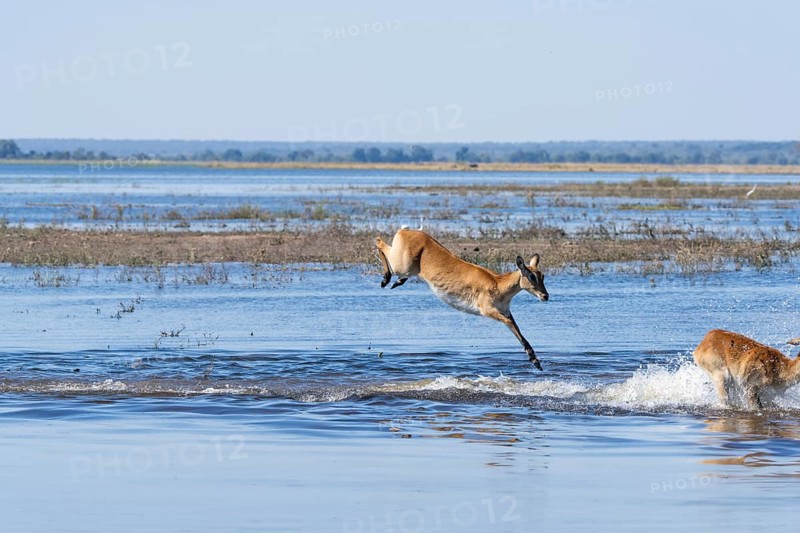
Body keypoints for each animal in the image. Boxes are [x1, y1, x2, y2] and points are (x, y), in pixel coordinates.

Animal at [375, 229, 549, 369]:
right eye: (531, 276)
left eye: (542, 276)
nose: (545, 296)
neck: (498, 284)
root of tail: (405, 231)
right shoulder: (487, 310)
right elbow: (511, 324)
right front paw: (535, 360)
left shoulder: (505, 311)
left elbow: (517, 329)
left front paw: (535, 361)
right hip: (402, 266)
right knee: (378, 241)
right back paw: (385, 280)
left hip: (407, 269)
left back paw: (396, 282)